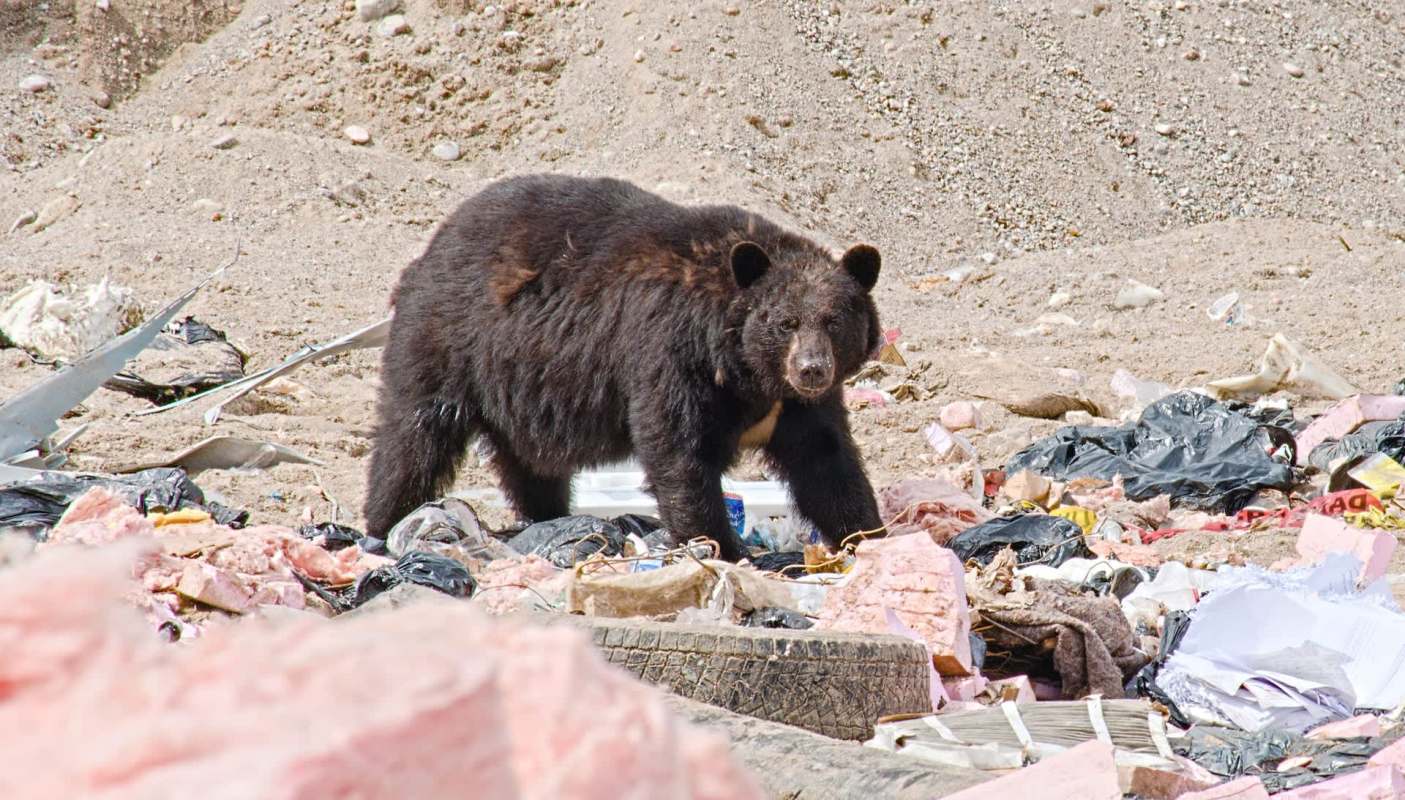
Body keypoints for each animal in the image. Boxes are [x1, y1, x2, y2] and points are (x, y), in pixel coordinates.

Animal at [362, 173, 886, 561]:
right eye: (785, 321)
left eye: (834, 321)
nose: (812, 369)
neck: (746, 372)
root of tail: (433, 245)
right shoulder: (671, 351)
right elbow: (677, 448)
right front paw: (722, 547)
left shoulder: (798, 407)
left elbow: (826, 461)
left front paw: (867, 535)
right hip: (449, 340)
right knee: (413, 435)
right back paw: (386, 522)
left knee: (530, 463)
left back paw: (546, 514)